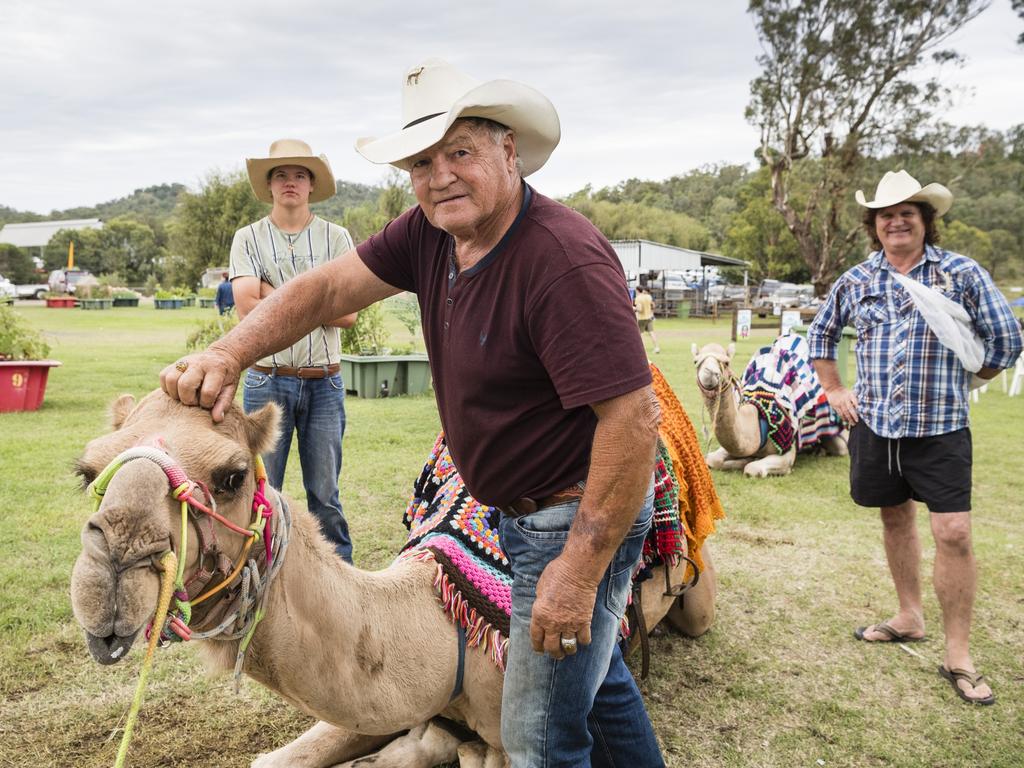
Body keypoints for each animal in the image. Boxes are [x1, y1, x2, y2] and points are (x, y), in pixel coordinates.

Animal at [696, 339, 847, 479]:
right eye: (696, 362)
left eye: (726, 362)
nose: (710, 373)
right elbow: (712, 460)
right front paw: (745, 459)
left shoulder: (787, 452)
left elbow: (752, 468)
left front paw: (747, 461)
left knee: (841, 447)